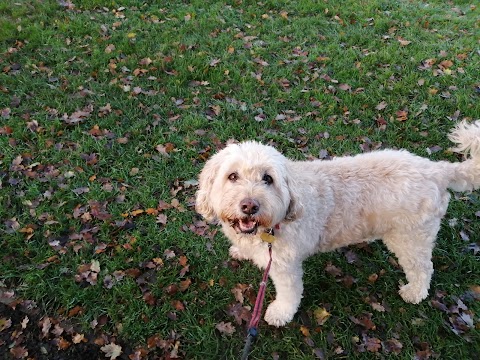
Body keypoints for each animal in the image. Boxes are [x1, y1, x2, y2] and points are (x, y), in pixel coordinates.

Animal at [195, 121, 480, 326]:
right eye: (232, 176)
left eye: (268, 179)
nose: (249, 206)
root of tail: (436, 169)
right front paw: (241, 251)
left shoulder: (285, 265)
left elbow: (290, 293)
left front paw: (280, 314)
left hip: (410, 238)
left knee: (423, 268)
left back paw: (414, 293)